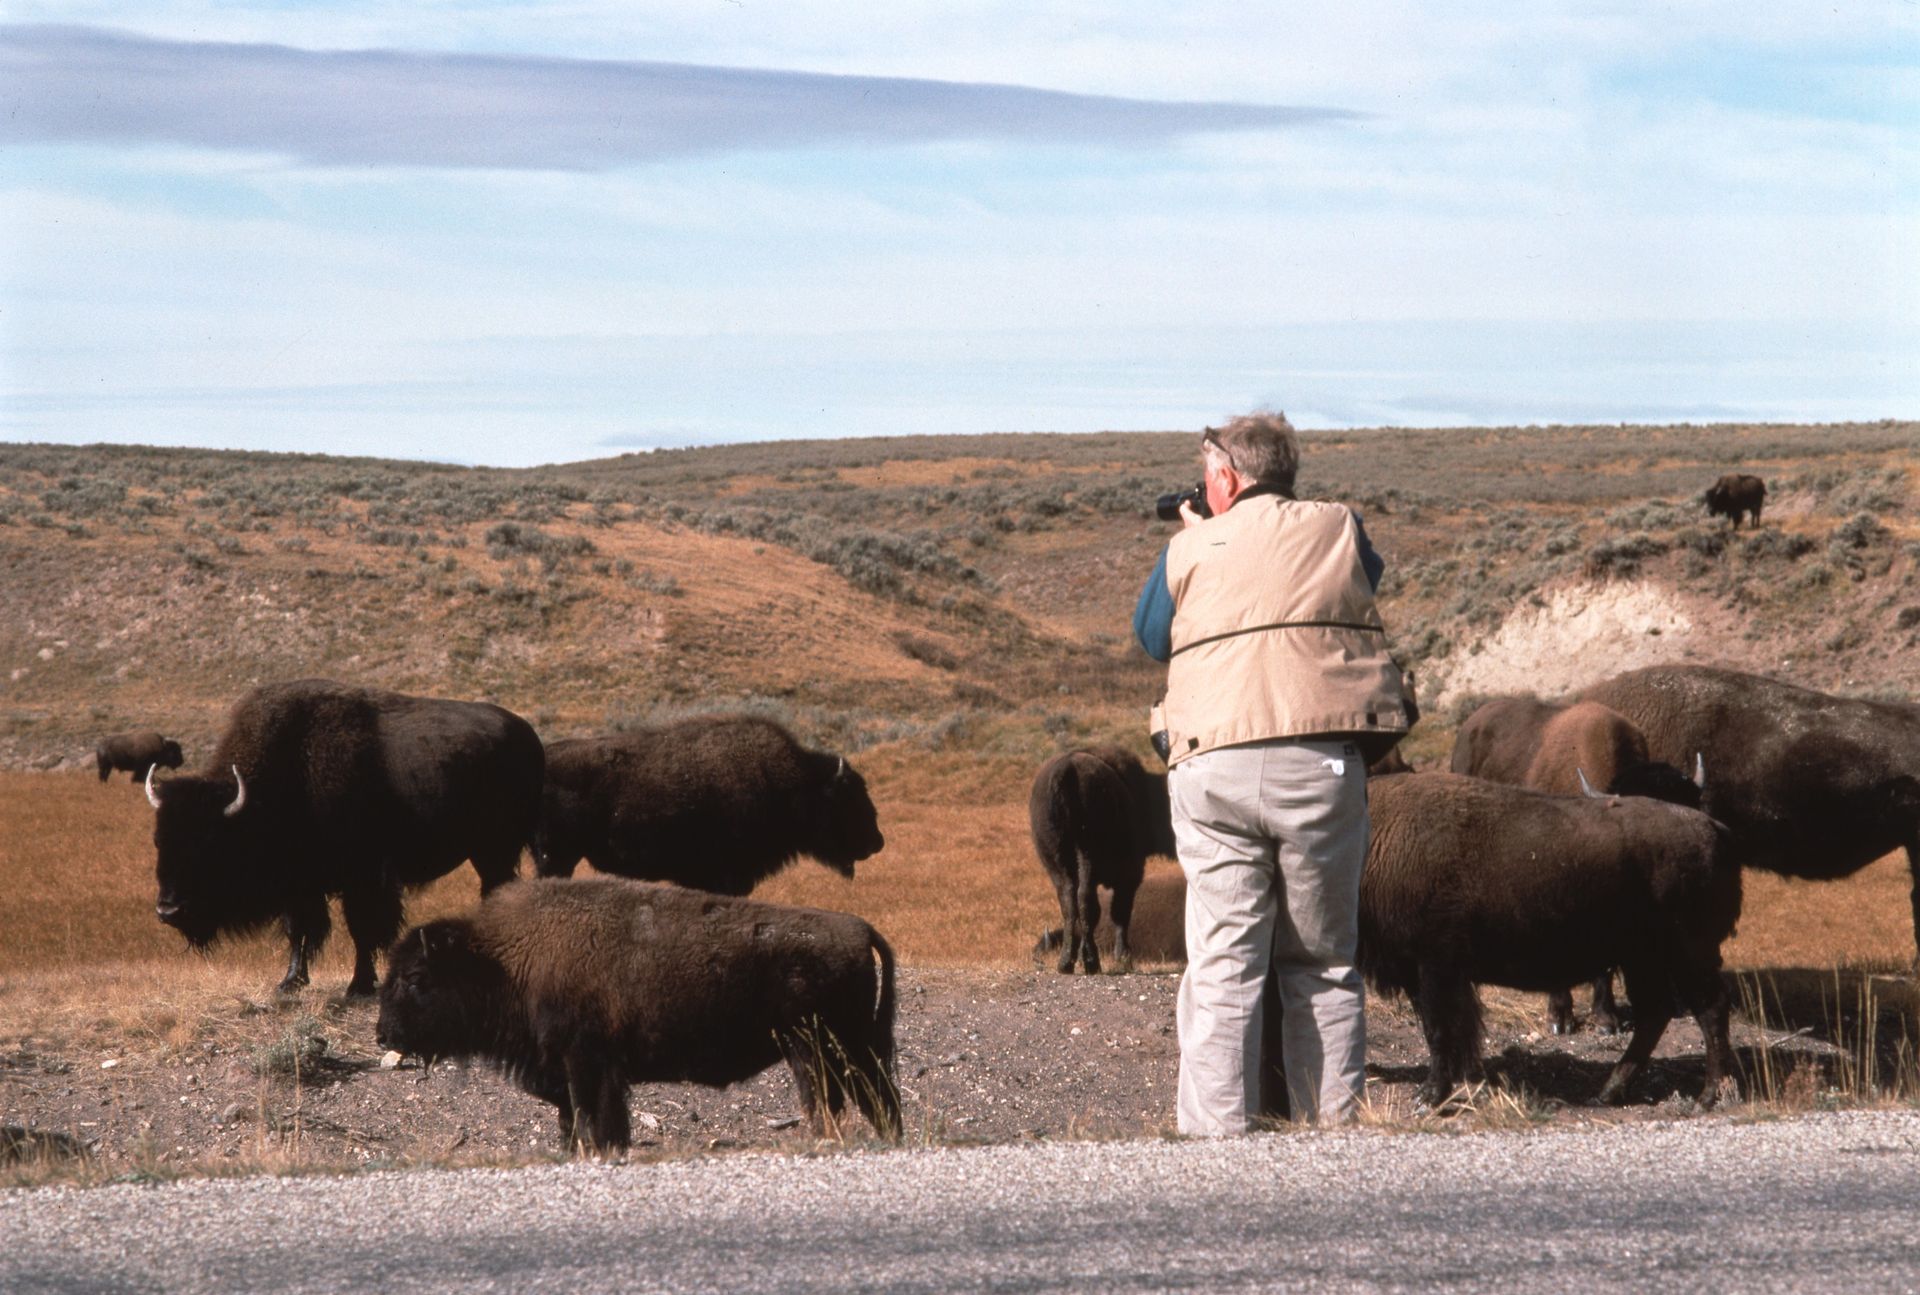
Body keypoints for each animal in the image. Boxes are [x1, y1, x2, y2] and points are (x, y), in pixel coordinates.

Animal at [147, 679, 544, 997]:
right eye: (159, 841)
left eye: (209, 842)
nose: (168, 910)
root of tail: (527, 734)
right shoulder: (299, 887)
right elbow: (299, 930)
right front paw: (289, 982)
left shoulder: (363, 879)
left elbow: (362, 930)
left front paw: (359, 985)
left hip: (495, 850)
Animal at [376, 877, 901, 1150]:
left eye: (416, 977)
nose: (384, 1036)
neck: (503, 960)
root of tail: (860, 929)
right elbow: (579, 1122)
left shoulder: (586, 1065)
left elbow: (594, 1119)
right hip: (842, 1051)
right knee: (873, 1100)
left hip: (820, 1051)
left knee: (844, 1101)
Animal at [1030, 746, 1175, 974]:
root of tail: (1068, 770)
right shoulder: (1130, 876)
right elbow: (1120, 913)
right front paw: (1124, 958)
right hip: (1089, 855)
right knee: (1087, 901)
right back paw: (1091, 962)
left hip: (1058, 864)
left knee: (1070, 904)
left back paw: (1067, 963)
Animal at [1360, 772, 1741, 1108]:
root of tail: (1716, 829)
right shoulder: (1423, 973)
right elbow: (1447, 1032)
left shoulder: (1435, 968)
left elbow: (1439, 1031)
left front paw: (1428, 1097)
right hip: (1643, 959)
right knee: (1656, 1013)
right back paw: (1608, 1093)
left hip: (1686, 954)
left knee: (1710, 1009)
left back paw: (1708, 1097)